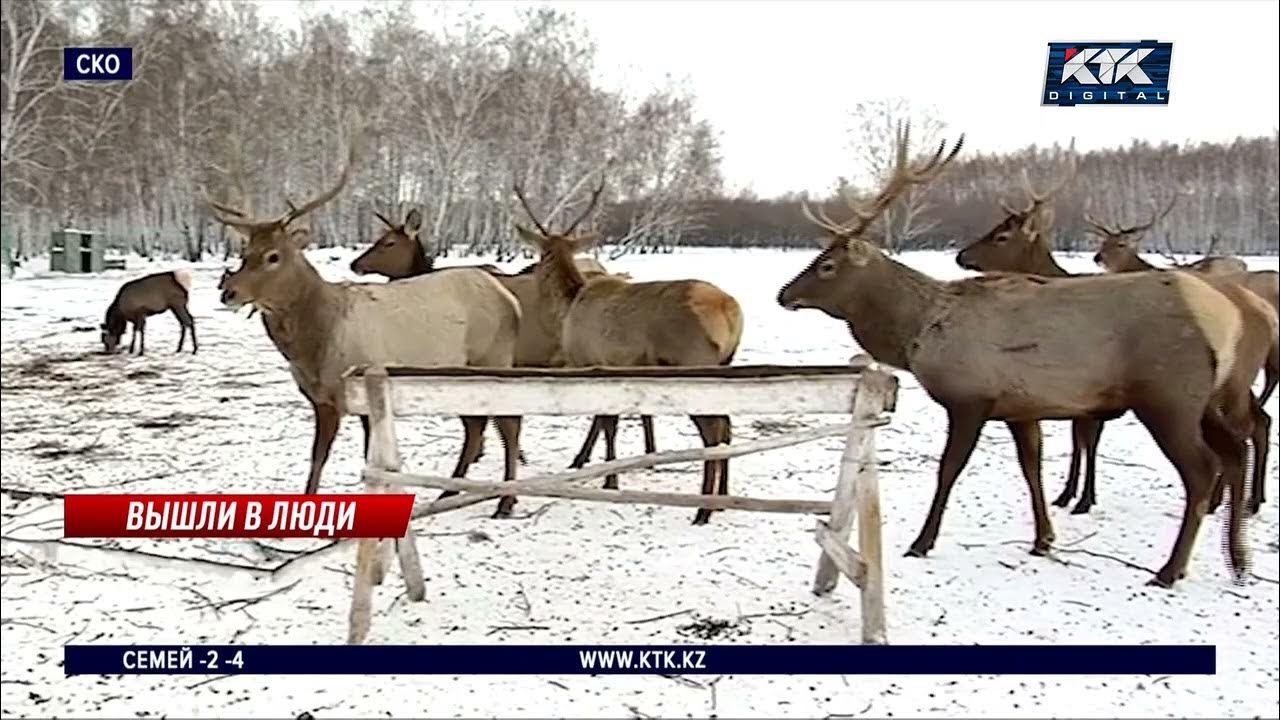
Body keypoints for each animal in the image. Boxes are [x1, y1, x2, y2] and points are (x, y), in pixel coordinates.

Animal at [209, 126, 524, 512]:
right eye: (245, 251)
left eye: (273, 256)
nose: (228, 292)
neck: (317, 343)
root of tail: (508, 298)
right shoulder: (320, 399)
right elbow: (318, 457)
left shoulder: (354, 390)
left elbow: (365, 458)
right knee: (476, 424)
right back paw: (450, 491)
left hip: (494, 357)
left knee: (508, 422)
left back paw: (505, 501)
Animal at [514, 174, 747, 520]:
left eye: (540, 255)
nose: (528, 271)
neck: (567, 307)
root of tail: (730, 310)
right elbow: (604, 421)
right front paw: (587, 463)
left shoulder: (590, 362)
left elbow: (605, 422)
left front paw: (607, 478)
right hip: (726, 364)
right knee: (728, 423)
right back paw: (723, 496)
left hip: (692, 362)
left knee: (713, 428)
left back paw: (703, 510)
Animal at [773, 120, 1274, 586]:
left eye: (827, 265)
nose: (783, 294)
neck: (919, 332)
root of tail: (1228, 314)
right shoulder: (1020, 408)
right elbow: (1031, 469)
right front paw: (1043, 538)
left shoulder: (970, 398)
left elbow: (948, 469)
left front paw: (921, 542)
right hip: (1206, 397)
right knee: (1235, 449)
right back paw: (1239, 560)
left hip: (1168, 394)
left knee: (1204, 467)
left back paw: (1171, 570)